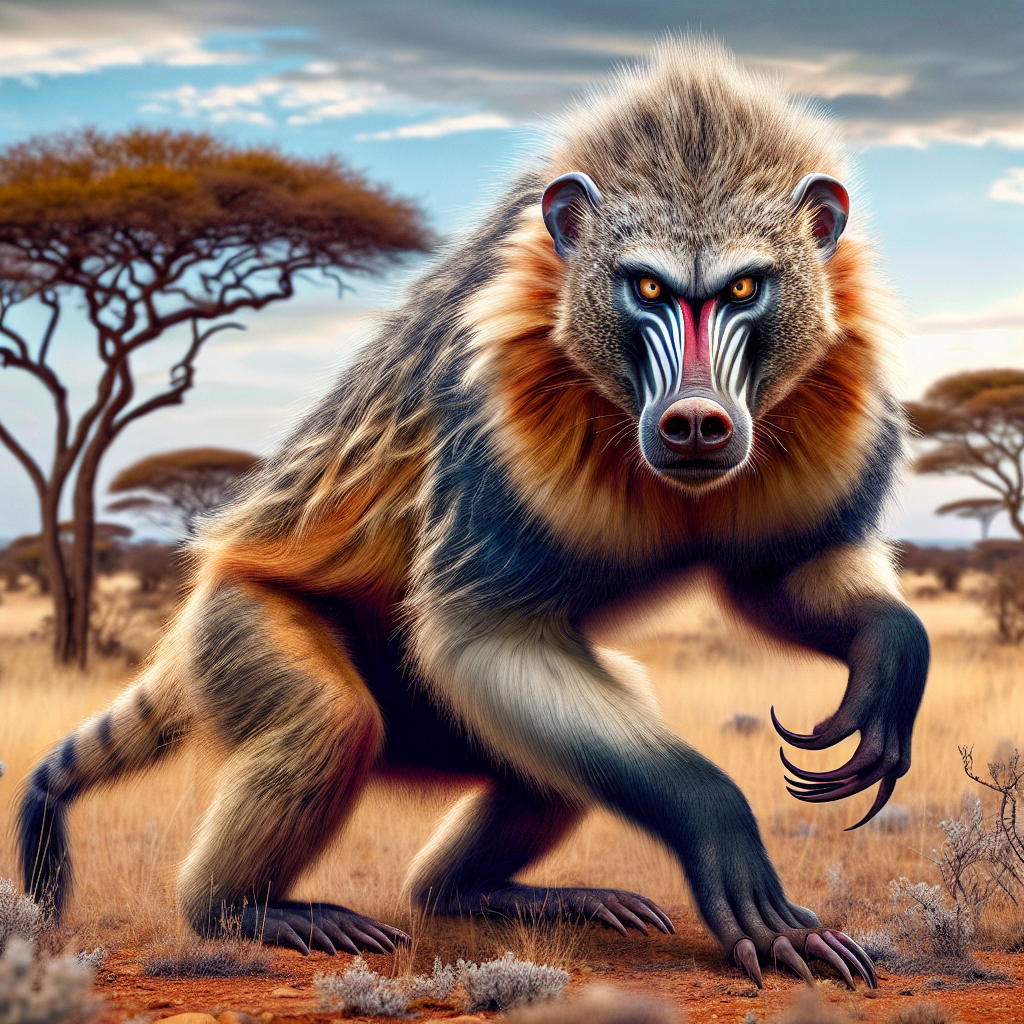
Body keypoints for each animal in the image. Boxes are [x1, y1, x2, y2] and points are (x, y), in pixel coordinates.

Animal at [19, 38, 927, 989]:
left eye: (746, 285)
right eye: (646, 287)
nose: (695, 420)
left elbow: (783, 575)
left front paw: (889, 650)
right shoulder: (497, 432)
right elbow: (481, 633)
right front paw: (718, 824)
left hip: (435, 725)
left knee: (549, 755)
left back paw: (480, 892)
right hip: (235, 621)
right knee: (330, 719)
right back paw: (240, 909)